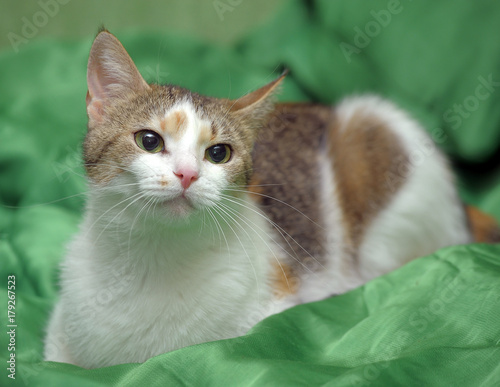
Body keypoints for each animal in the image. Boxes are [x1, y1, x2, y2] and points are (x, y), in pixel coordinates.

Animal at [45, 29, 498, 370]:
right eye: (149, 141)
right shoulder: (58, 336)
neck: (156, 259)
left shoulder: (275, 310)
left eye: (219, 153)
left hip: (373, 131)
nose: (187, 173)